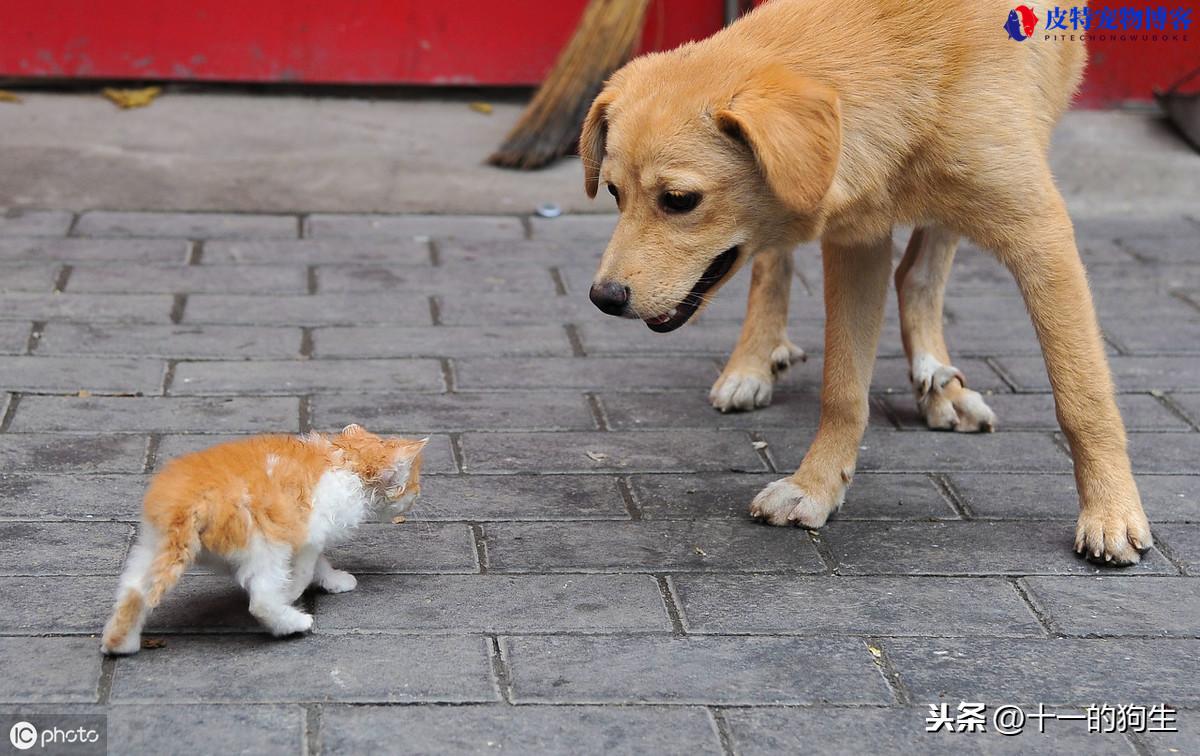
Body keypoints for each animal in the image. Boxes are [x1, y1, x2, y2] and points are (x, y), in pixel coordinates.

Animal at [102, 424, 427, 652]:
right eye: (413, 483)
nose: (418, 496)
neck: (345, 460)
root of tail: (188, 502)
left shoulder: (309, 534)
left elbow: (320, 563)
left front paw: (334, 580)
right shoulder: (309, 532)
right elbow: (306, 568)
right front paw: (294, 593)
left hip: (153, 546)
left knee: (133, 591)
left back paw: (120, 644)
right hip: (265, 545)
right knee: (260, 600)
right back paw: (292, 622)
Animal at [580, 0, 1152, 566]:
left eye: (680, 200)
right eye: (613, 193)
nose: (603, 298)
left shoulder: (1039, 233)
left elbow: (1083, 396)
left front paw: (1111, 513)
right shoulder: (857, 237)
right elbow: (843, 389)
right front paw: (815, 486)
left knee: (919, 272)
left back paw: (938, 379)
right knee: (776, 266)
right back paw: (751, 365)